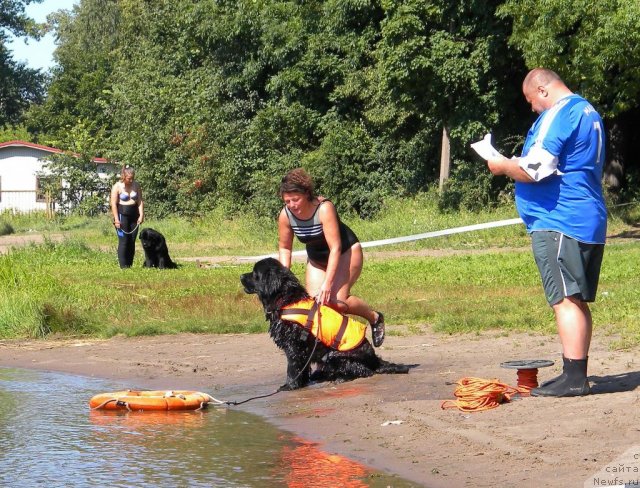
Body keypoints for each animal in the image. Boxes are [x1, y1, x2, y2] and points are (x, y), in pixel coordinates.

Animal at [240, 258, 410, 390]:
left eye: (254, 274)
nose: (241, 275)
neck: (285, 300)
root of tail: (374, 359)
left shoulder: (294, 346)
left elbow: (292, 369)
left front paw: (289, 386)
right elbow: (302, 369)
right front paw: (301, 383)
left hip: (334, 355)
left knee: (363, 370)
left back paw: (340, 377)